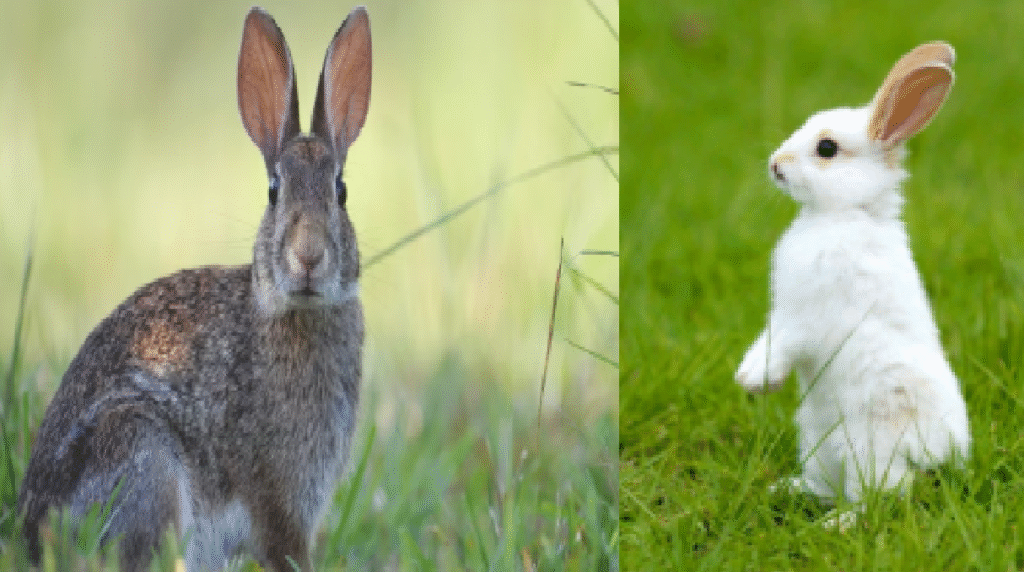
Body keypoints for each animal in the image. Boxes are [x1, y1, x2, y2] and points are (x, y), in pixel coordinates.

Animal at [17, 6, 371, 571]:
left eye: (340, 191)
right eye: (273, 192)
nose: (308, 255)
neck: (293, 310)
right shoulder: (279, 498)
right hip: (144, 457)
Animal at [735, 41, 970, 509]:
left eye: (827, 149)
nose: (775, 164)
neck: (843, 214)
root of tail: (940, 453)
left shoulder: (809, 318)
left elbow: (785, 342)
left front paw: (755, 381)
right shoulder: (783, 312)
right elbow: (768, 335)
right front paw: (748, 376)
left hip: (871, 447)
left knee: (882, 498)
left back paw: (838, 520)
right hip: (816, 441)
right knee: (829, 486)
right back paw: (787, 490)